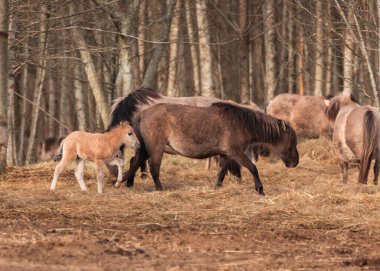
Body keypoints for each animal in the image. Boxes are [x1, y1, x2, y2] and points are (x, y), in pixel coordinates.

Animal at [121, 102, 300, 196]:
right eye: (292, 142)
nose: (295, 162)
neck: (242, 123)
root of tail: (142, 114)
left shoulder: (225, 155)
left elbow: (221, 173)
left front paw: (217, 187)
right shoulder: (236, 153)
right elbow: (253, 168)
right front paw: (260, 190)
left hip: (145, 149)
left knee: (134, 162)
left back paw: (129, 183)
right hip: (156, 149)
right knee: (154, 169)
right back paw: (159, 189)